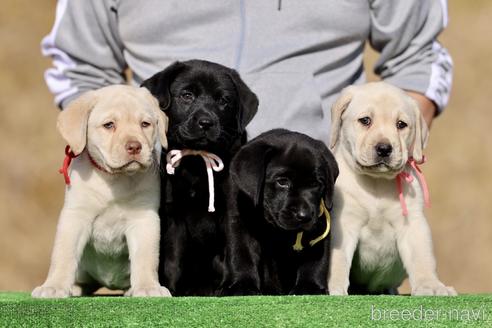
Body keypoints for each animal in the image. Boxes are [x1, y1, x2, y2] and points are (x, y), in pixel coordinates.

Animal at [32, 84, 171, 298]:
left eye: (145, 124)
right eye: (109, 125)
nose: (134, 146)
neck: (115, 179)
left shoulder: (143, 219)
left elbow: (146, 257)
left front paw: (148, 287)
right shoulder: (75, 216)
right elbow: (63, 254)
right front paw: (53, 286)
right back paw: (74, 288)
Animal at [141, 60, 258, 296]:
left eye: (223, 100)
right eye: (187, 95)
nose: (206, 122)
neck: (197, 162)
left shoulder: (232, 209)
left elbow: (237, 248)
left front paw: (240, 285)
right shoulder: (174, 214)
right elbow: (173, 257)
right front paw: (171, 289)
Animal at [219, 129, 338, 296]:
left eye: (316, 183)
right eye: (282, 182)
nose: (304, 215)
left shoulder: (319, 224)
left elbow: (316, 258)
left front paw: (310, 286)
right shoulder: (239, 222)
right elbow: (241, 253)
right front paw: (241, 285)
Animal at [326, 81, 458, 294]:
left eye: (401, 124)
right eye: (365, 120)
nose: (384, 149)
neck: (377, 183)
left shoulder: (412, 222)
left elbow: (422, 258)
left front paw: (431, 285)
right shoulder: (343, 222)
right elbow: (336, 260)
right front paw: (332, 286)